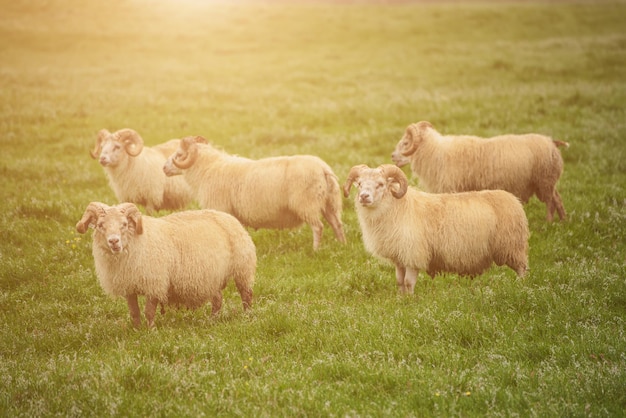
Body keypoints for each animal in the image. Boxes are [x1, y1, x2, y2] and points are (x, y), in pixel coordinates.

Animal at [75, 202, 256, 326]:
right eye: (100, 225)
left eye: (124, 224)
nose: (113, 241)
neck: (138, 242)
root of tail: (228, 217)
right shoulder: (129, 286)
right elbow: (134, 312)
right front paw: (136, 330)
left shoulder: (155, 283)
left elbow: (149, 311)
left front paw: (151, 331)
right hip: (211, 277)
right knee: (217, 299)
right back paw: (212, 320)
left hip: (242, 268)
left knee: (246, 294)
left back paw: (247, 316)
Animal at [161, 136, 346, 250]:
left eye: (179, 154)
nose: (163, 168)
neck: (207, 168)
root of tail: (323, 169)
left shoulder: (221, 208)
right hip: (329, 203)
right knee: (337, 224)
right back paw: (342, 245)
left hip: (307, 204)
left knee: (318, 227)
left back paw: (315, 251)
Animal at [342, 163, 528, 294]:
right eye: (359, 183)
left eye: (380, 184)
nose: (364, 197)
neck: (396, 208)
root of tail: (514, 200)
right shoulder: (400, 256)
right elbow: (399, 281)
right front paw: (400, 299)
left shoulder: (413, 254)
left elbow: (408, 282)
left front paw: (410, 301)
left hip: (512, 246)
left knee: (522, 269)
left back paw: (521, 289)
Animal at [390, 121, 564, 222]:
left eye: (405, 143)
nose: (392, 156)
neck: (435, 152)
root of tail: (551, 142)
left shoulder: (450, 189)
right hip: (548, 182)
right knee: (557, 199)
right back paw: (563, 222)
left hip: (544, 181)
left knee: (550, 202)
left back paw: (548, 223)